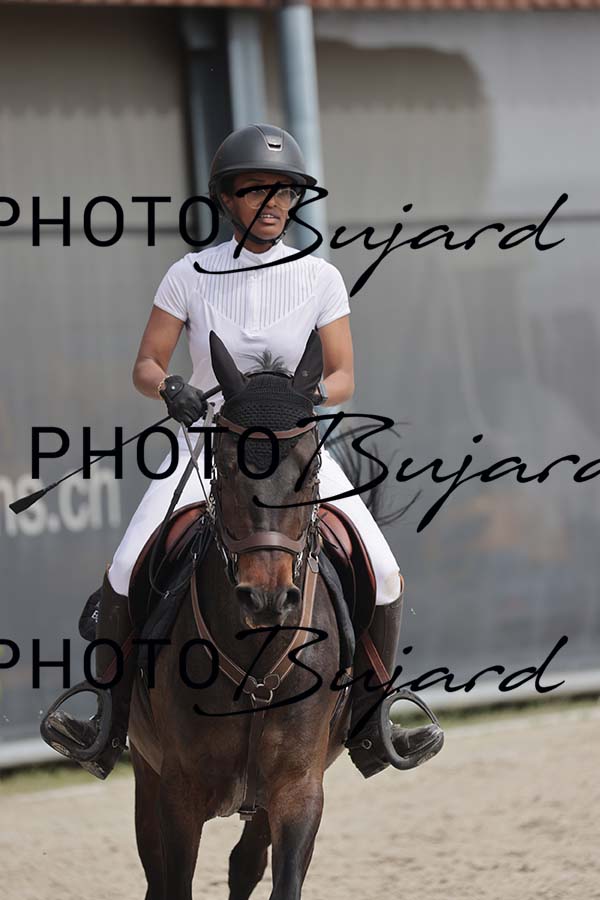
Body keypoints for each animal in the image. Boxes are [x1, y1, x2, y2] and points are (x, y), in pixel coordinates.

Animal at [127, 330, 353, 900]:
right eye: (226, 466)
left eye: (311, 469)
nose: (266, 597)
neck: (255, 649)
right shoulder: (177, 792)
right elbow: (174, 882)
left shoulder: (299, 789)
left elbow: (283, 879)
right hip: (145, 769)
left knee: (244, 863)